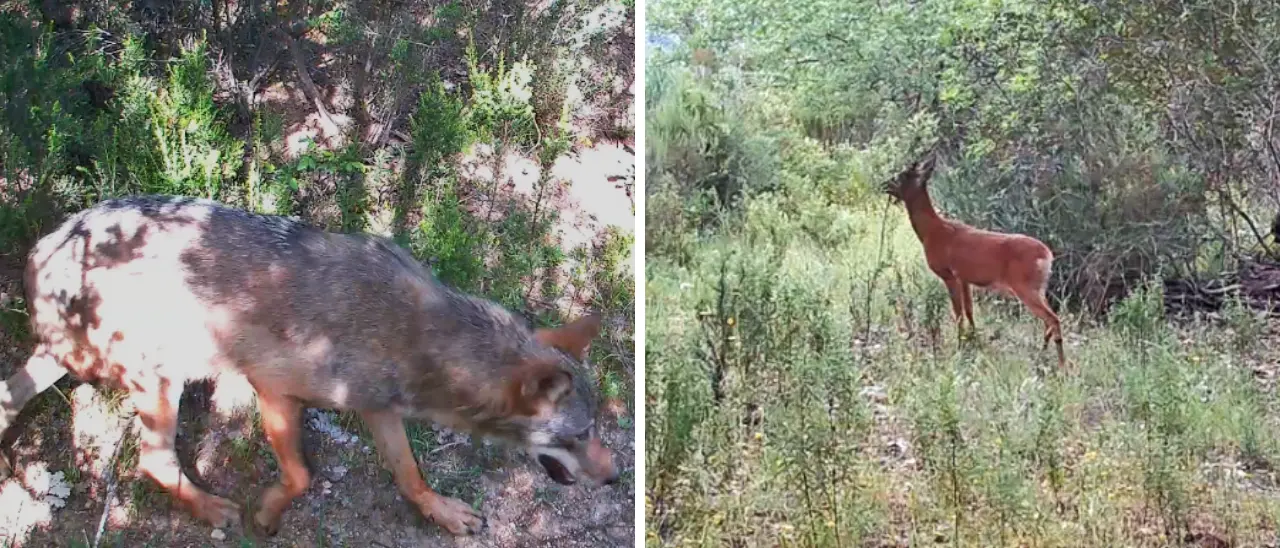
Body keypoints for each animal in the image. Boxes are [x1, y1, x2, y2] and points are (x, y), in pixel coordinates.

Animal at [0, 195, 618, 536]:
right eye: (578, 434)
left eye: (595, 431)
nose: (615, 477)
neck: (416, 337)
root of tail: (41, 250)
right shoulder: (272, 389)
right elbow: (301, 475)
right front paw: (267, 514)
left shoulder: (379, 410)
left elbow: (410, 474)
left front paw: (442, 514)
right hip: (161, 382)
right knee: (152, 462)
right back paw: (215, 510)